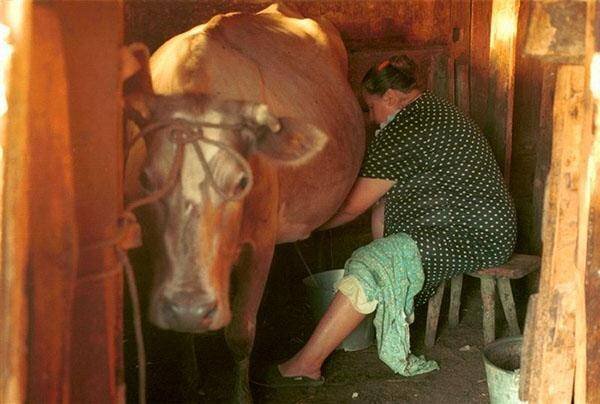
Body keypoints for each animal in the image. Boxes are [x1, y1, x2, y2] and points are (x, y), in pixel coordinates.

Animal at [124, 2, 364, 400]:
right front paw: (190, 377)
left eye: (240, 181)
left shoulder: (261, 241)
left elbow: (239, 331)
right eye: (146, 181)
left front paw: (242, 396)